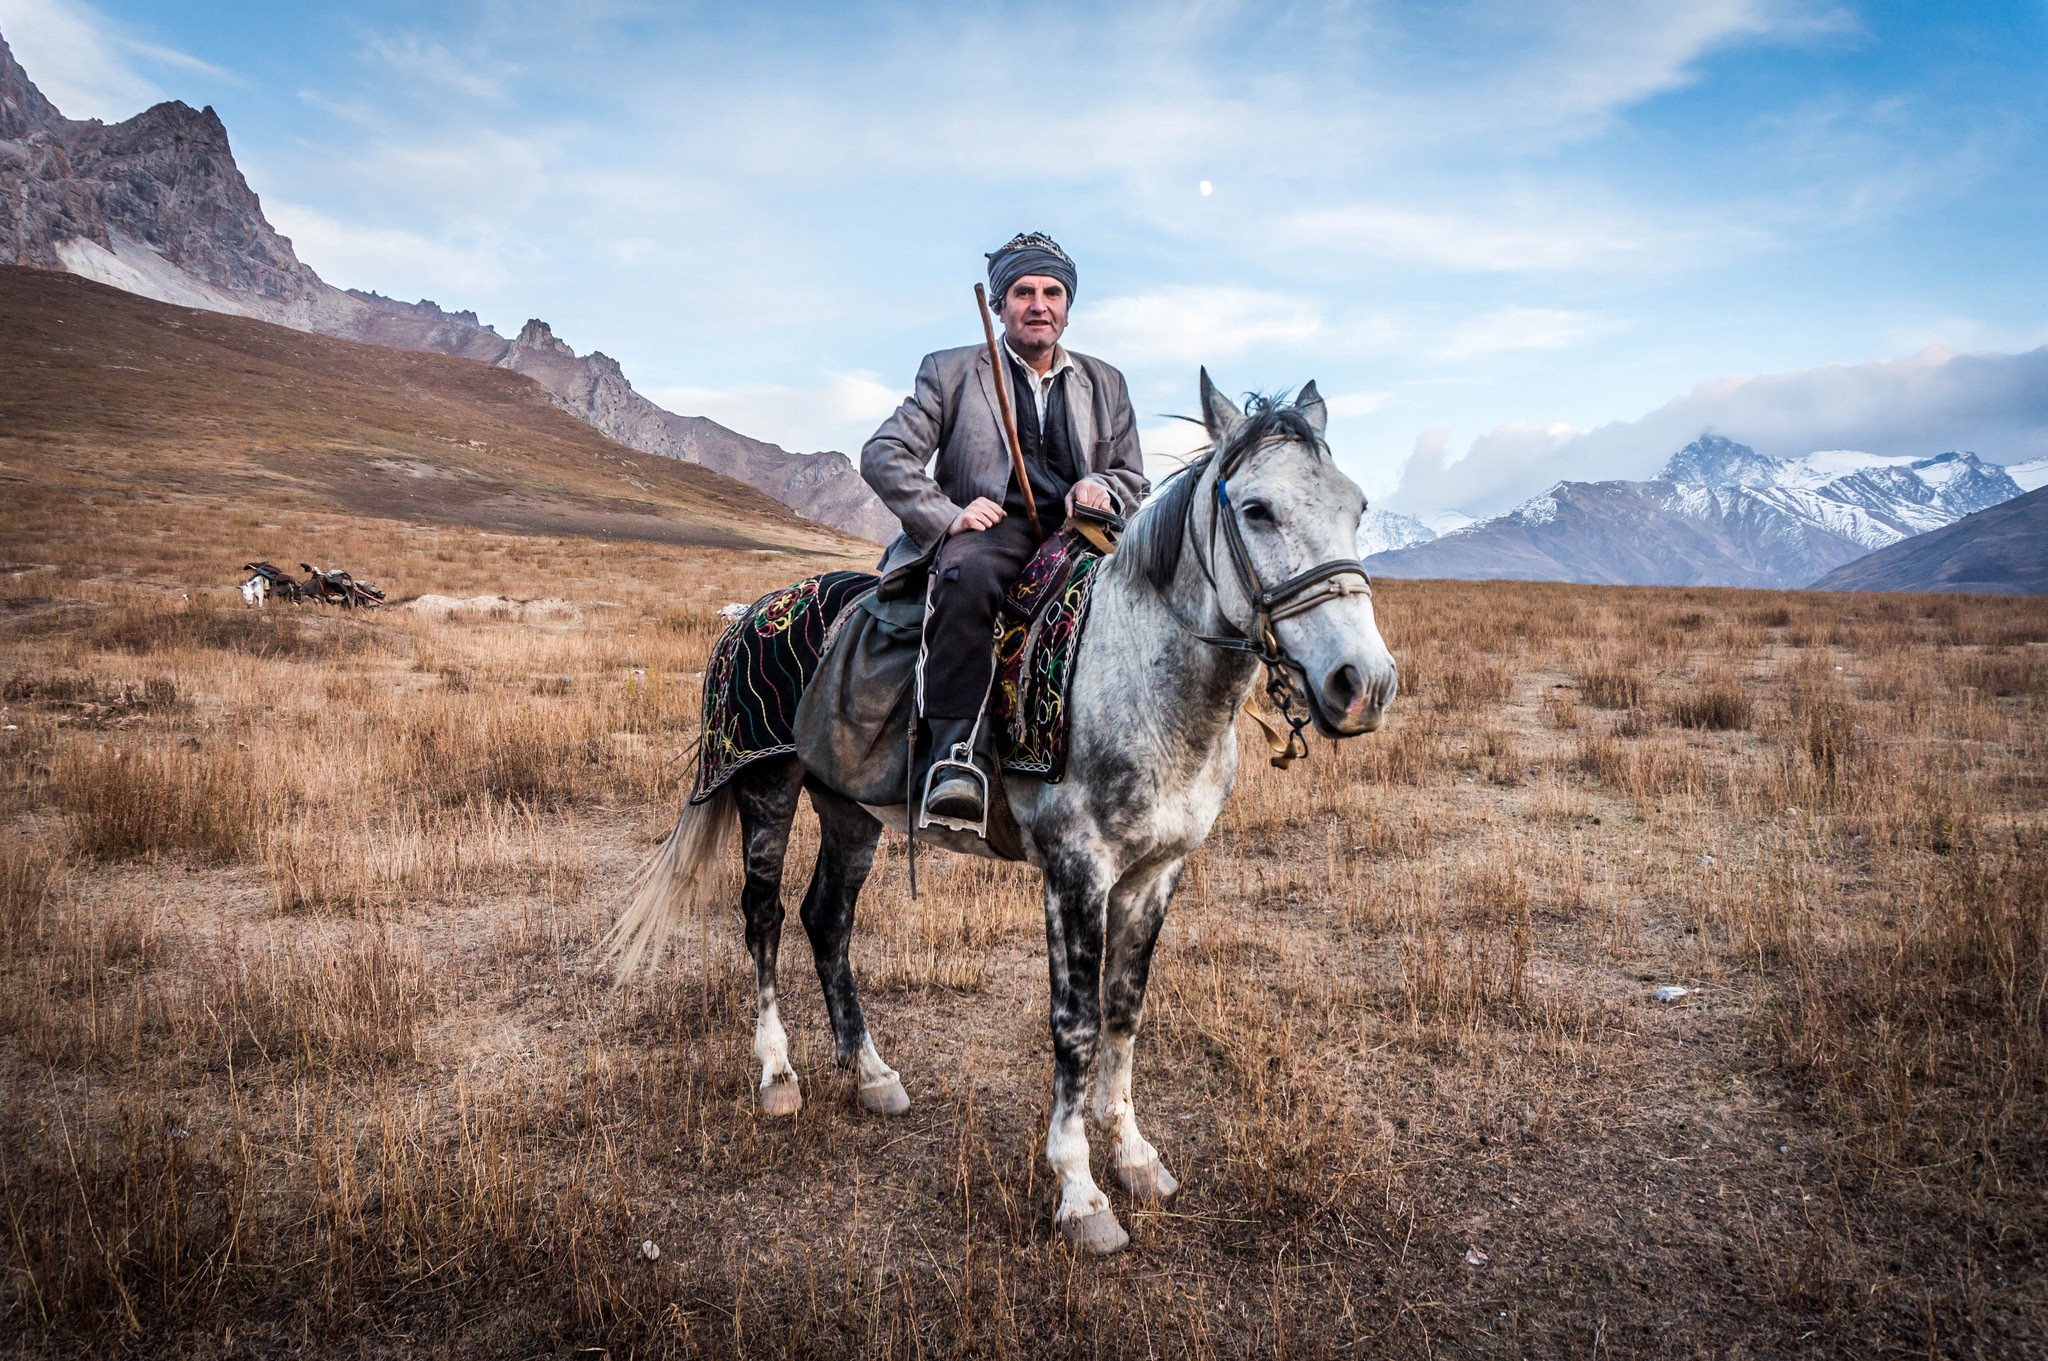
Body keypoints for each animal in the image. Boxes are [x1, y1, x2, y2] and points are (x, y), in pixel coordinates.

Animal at [602, 372, 1392, 1252]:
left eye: (1356, 506)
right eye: (1256, 509)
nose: (1363, 683)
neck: (1141, 673)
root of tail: (750, 614)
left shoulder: (1158, 871)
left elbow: (1126, 1010)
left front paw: (1135, 1155)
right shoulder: (1077, 869)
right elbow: (1076, 1024)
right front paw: (1080, 1191)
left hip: (850, 809)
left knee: (826, 918)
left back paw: (870, 1071)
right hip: (767, 787)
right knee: (765, 916)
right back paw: (777, 1072)